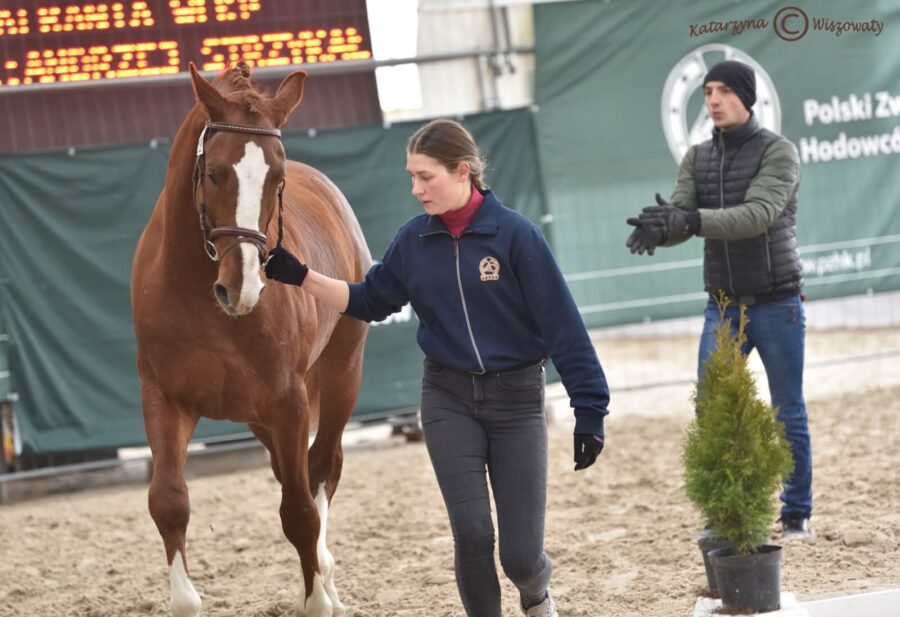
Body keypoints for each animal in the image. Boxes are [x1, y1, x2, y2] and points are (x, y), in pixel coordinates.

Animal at [130, 63, 370, 616]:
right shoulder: (163, 398)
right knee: (292, 469)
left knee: (321, 469)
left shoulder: (289, 400)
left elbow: (300, 511)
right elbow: (168, 501)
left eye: (276, 179)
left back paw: (326, 577)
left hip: (340, 376)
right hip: (257, 416)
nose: (242, 289)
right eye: (215, 172)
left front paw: (316, 599)